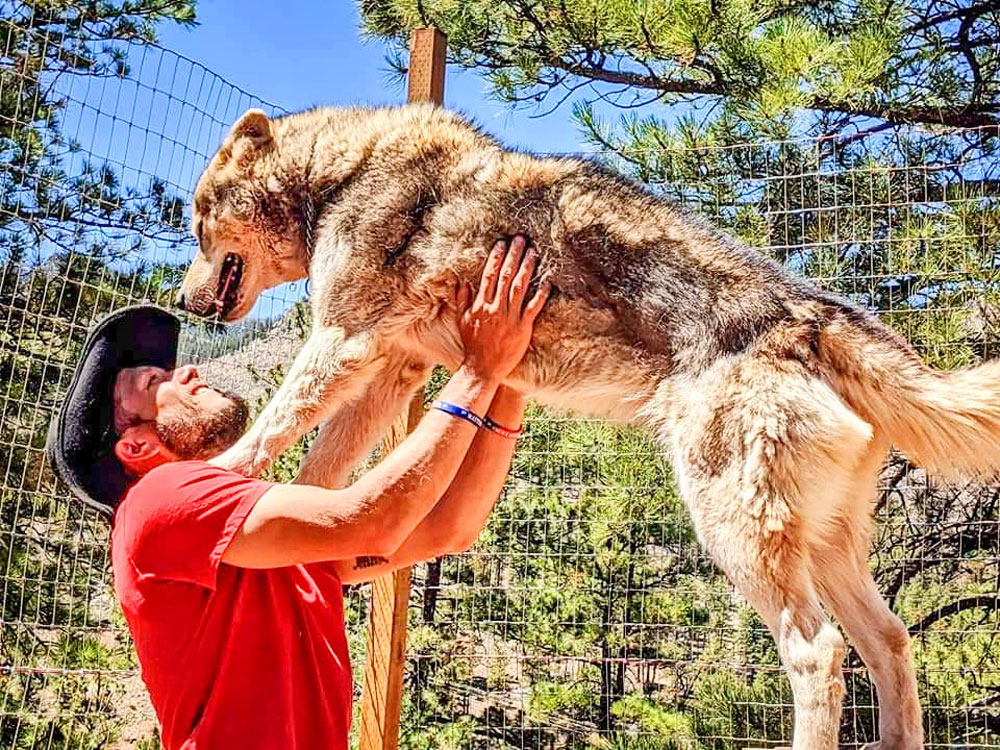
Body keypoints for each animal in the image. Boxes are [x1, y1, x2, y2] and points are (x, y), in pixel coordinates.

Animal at [178, 104, 1000, 750]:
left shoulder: (342, 341)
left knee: (818, 653)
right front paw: (297, 549)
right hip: (823, 545)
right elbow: (323, 470)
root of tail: (813, 314)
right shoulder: (393, 371)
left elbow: (275, 428)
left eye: (196, 223)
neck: (341, 176)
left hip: (736, 534)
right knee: (889, 641)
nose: (184, 303)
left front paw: (222, 477)